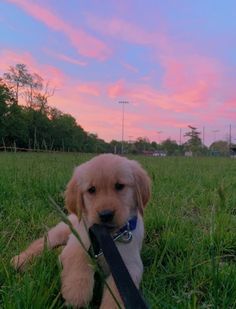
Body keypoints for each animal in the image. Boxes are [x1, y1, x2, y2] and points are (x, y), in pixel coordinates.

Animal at [11, 153, 151, 306]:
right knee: (41, 243)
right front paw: (77, 295)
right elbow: (78, 260)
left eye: (120, 186)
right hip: (61, 232)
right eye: (91, 190)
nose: (106, 214)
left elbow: (118, 295)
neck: (108, 237)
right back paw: (20, 260)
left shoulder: (128, 266)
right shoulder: (77, 243)